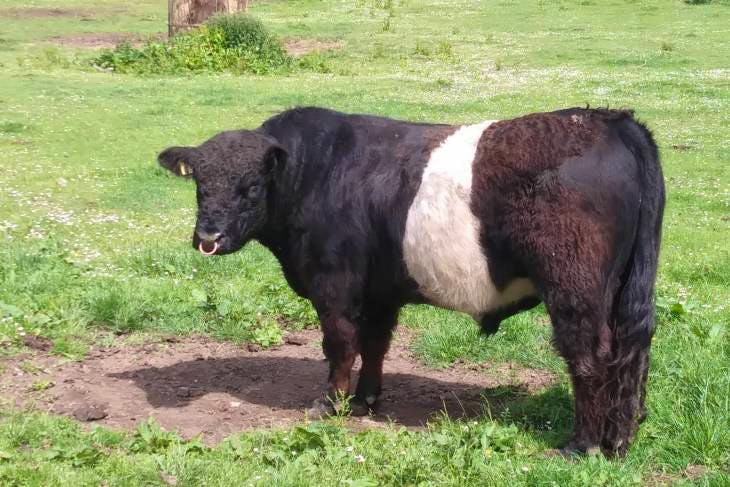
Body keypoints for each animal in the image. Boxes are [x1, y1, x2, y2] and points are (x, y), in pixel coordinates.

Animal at [158, 107, 660, 458]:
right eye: (200, 184)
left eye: (251, 186)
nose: (208, 238)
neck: (317, 172)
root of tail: (613, 121)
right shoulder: (380, 292)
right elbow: (375, 344)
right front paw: (366, 401)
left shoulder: (332, 284)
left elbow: (340, 344)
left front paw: (330, 405)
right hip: (627, 289)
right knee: (632, 350)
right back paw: (621, 439)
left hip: (574, 289)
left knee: (590, 356)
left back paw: (582, 445)